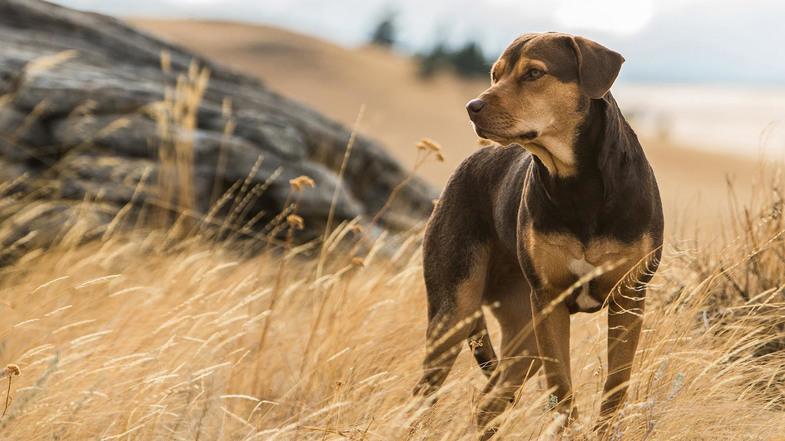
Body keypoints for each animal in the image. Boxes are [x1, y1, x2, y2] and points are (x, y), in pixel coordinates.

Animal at [410, 31, 660, 436]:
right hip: (457, 310)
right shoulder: (549, 301)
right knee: (426, 393)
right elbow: (561, 388)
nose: (472, 106)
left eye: (534, 73)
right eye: (495, 74)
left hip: (522, 333)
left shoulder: (629, 296)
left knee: (489, 401)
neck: (578, 184)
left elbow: (616, 384)